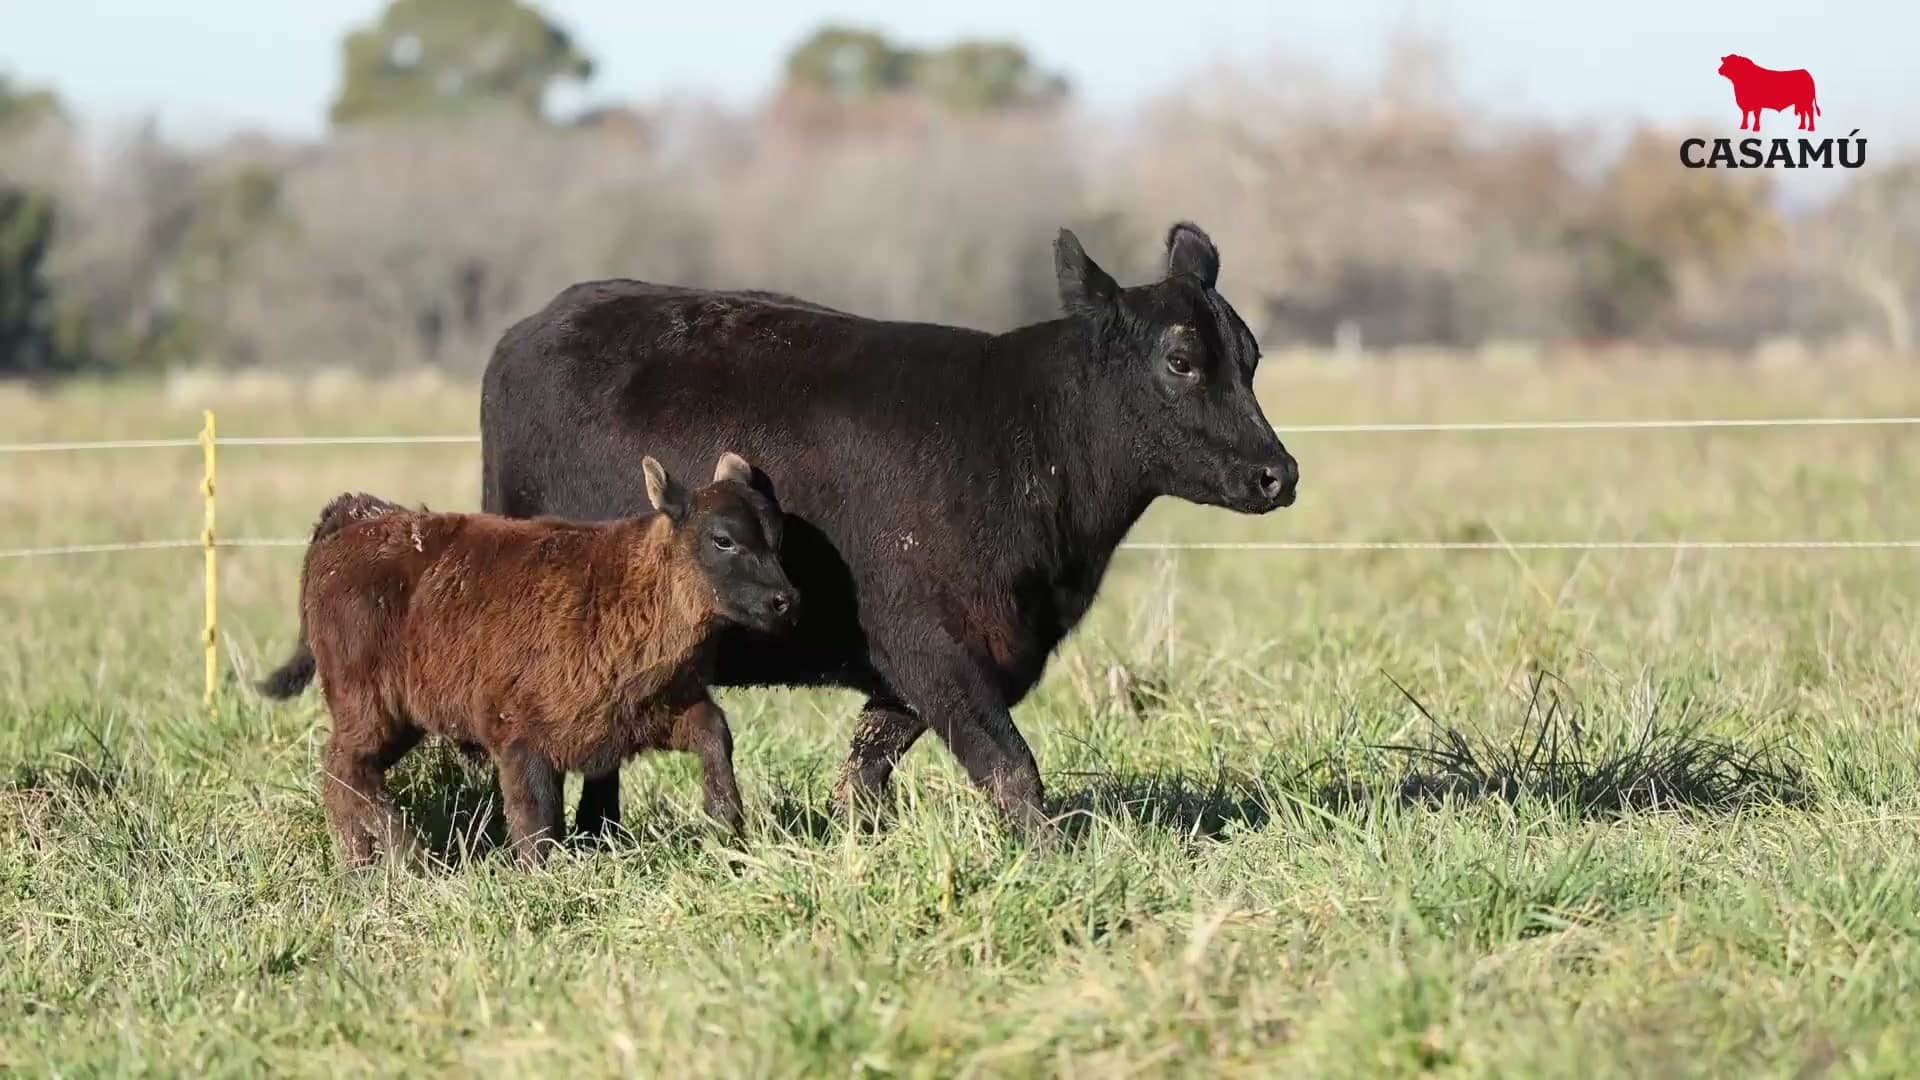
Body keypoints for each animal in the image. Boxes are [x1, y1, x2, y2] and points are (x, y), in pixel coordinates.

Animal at [257, 454, 798, 868]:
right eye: (723, 539)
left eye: (776, 538)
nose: (786, 600)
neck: (622, 584)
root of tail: (351, 520)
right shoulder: (522, 741)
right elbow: (535, 820)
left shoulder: (660, 709)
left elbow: (714, 733)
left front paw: (727, 823)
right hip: (370, 709)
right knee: (345, 769)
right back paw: (409, 857)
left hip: (398, 719)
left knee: (347, 776)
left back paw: (363, 865)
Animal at [479, 222, 1299, 836]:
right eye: (1181, 360)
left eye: (1252, 357)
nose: (1278, 473)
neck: (1019, 436)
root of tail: (537, 324)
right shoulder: (929, 642)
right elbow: (1011, 769)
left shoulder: (922, 661)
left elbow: (866, 768)